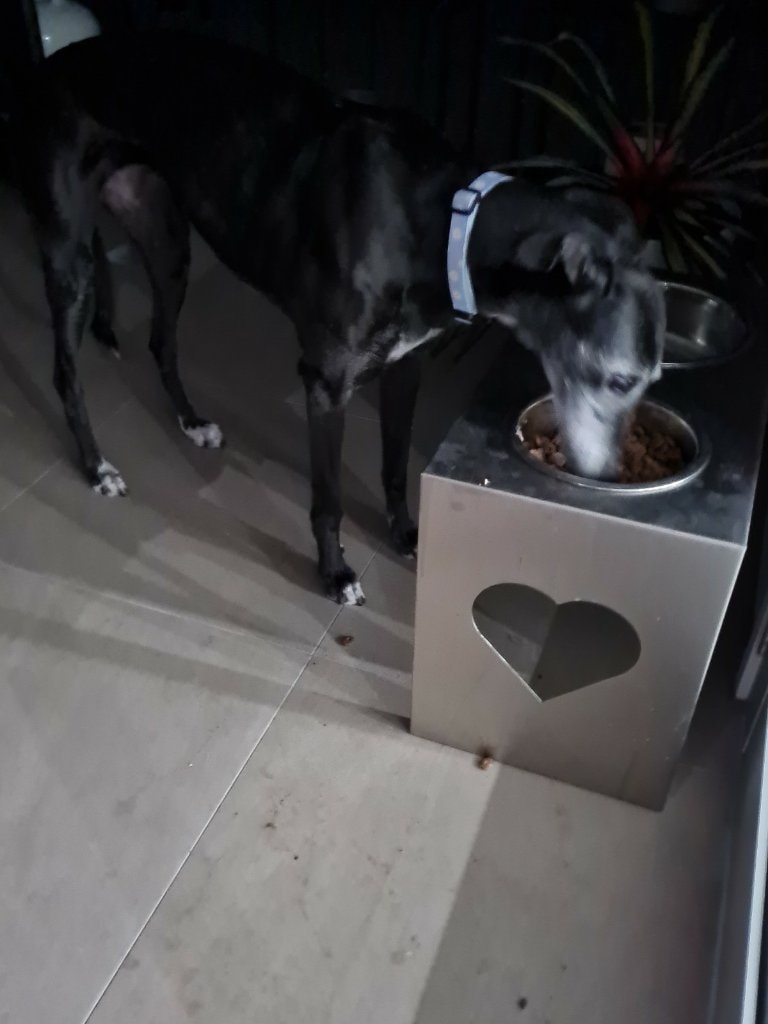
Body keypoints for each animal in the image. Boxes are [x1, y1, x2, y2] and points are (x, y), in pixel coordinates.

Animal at [15, 30, 664, 605]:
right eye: (620, 379)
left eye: (651, 381)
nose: (613, 474)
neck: (447, 219)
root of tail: (47, 66)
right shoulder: (326, 384)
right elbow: (327, 500)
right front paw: (335, 574)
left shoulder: (406, 366)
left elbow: (397, 467)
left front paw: (405, 535)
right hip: (70, 258)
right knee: (66, 373)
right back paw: (97, 467)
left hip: (168, 243)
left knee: (160, 341)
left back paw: (192, 422)